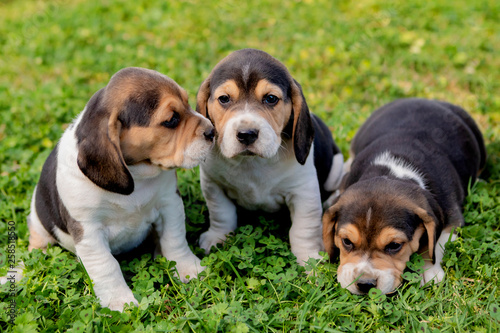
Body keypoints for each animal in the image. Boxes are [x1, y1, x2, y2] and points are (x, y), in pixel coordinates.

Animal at [194, 48, 344, 264]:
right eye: (224, 99)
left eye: (271, 98)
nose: (246, 134)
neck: (252, 162)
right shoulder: (213, 185)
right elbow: (221, 214)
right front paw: (216, 237)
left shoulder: (304, 192)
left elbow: (303, 229)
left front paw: (308, 258)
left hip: (336, 167)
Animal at [322, 98, 486, 294]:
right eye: (346, 241)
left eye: (394, 246)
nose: (365, 284)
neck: (393, 171)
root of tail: (428, 100)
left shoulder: (452, 218)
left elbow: (435, 243)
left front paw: (427, 269)